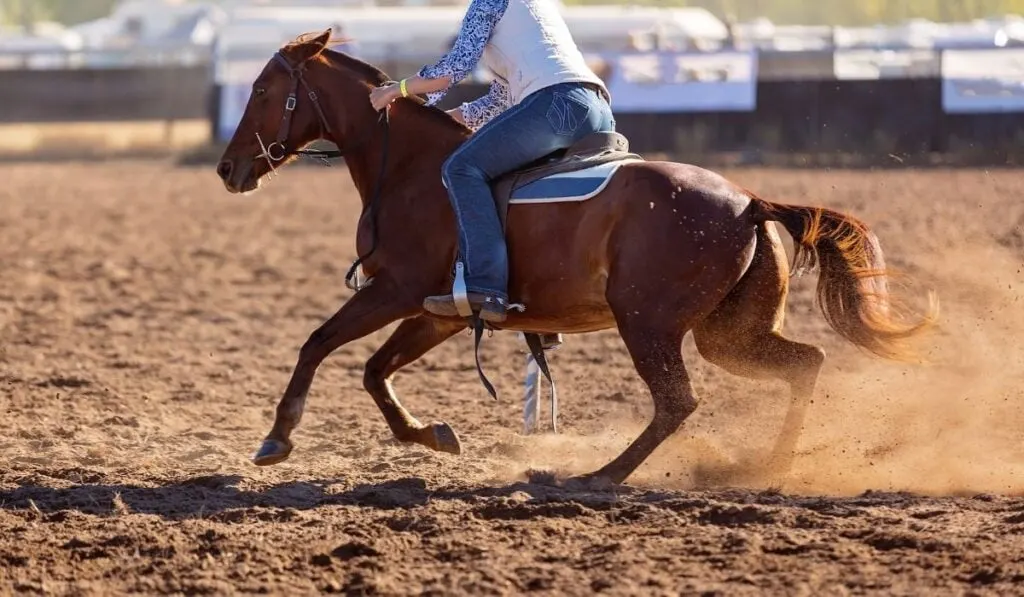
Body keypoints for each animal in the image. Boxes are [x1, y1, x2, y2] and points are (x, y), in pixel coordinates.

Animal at [215, 30, 937, 486]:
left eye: (261, 90)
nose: (227, 168)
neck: (413, 167)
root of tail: (746, 202)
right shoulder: (438, 311)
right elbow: (374, 371)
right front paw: (434, 434)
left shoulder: (393, 289)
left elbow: (318, 343)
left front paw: (277, 438)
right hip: (727, 331)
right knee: (804, 363)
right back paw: (768, 467)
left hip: (648, 322)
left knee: (677, 402)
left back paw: (599, 475)